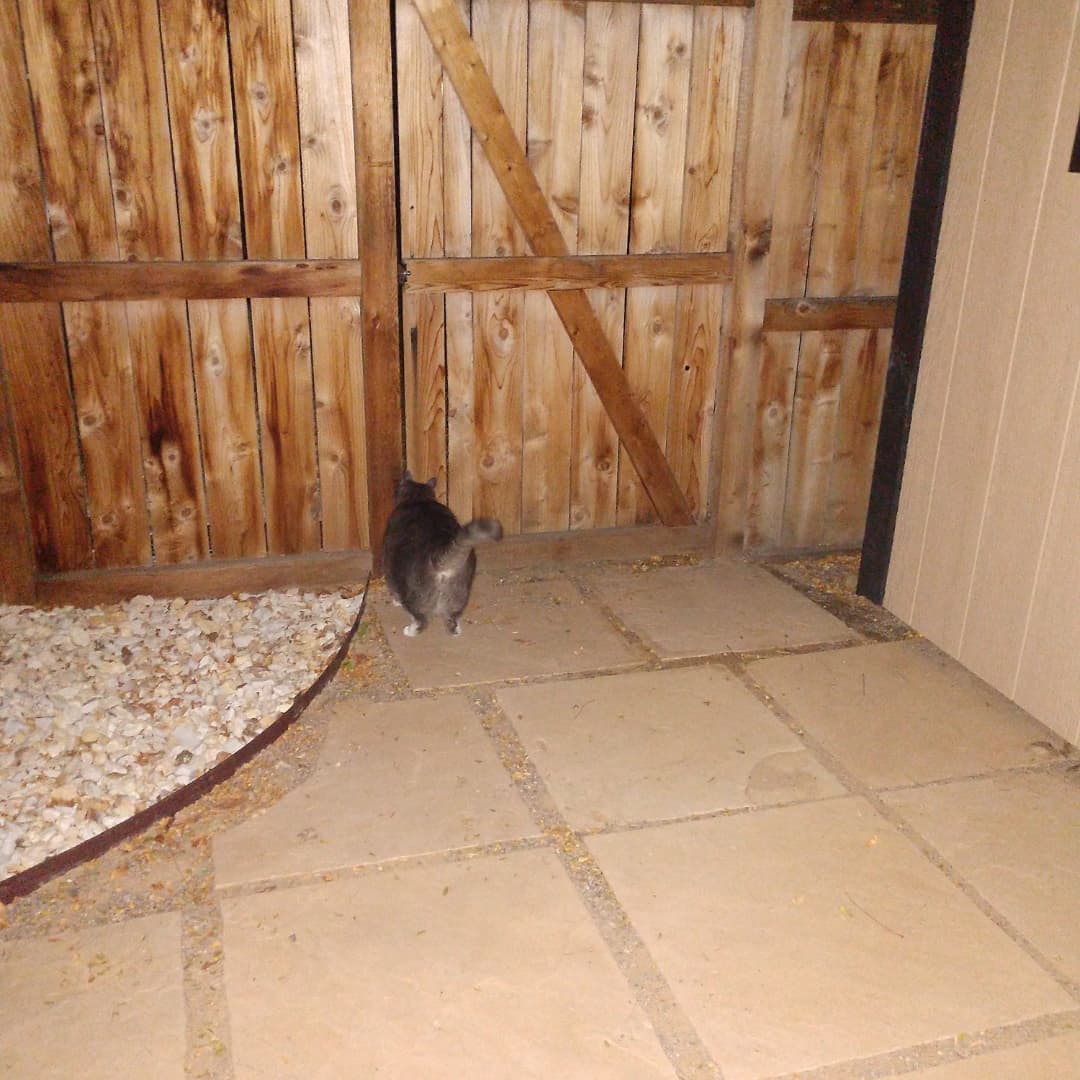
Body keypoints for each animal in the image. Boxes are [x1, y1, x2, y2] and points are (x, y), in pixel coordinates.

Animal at [381, 472, 503, 637]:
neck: (419, 499)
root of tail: (439, 556)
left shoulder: (389, 565)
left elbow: (392, 587)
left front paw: (395, 601)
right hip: (459, 594)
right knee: (452, 618)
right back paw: (456, 630)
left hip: (414, 595)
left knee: (422, 620)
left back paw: (410, 630)